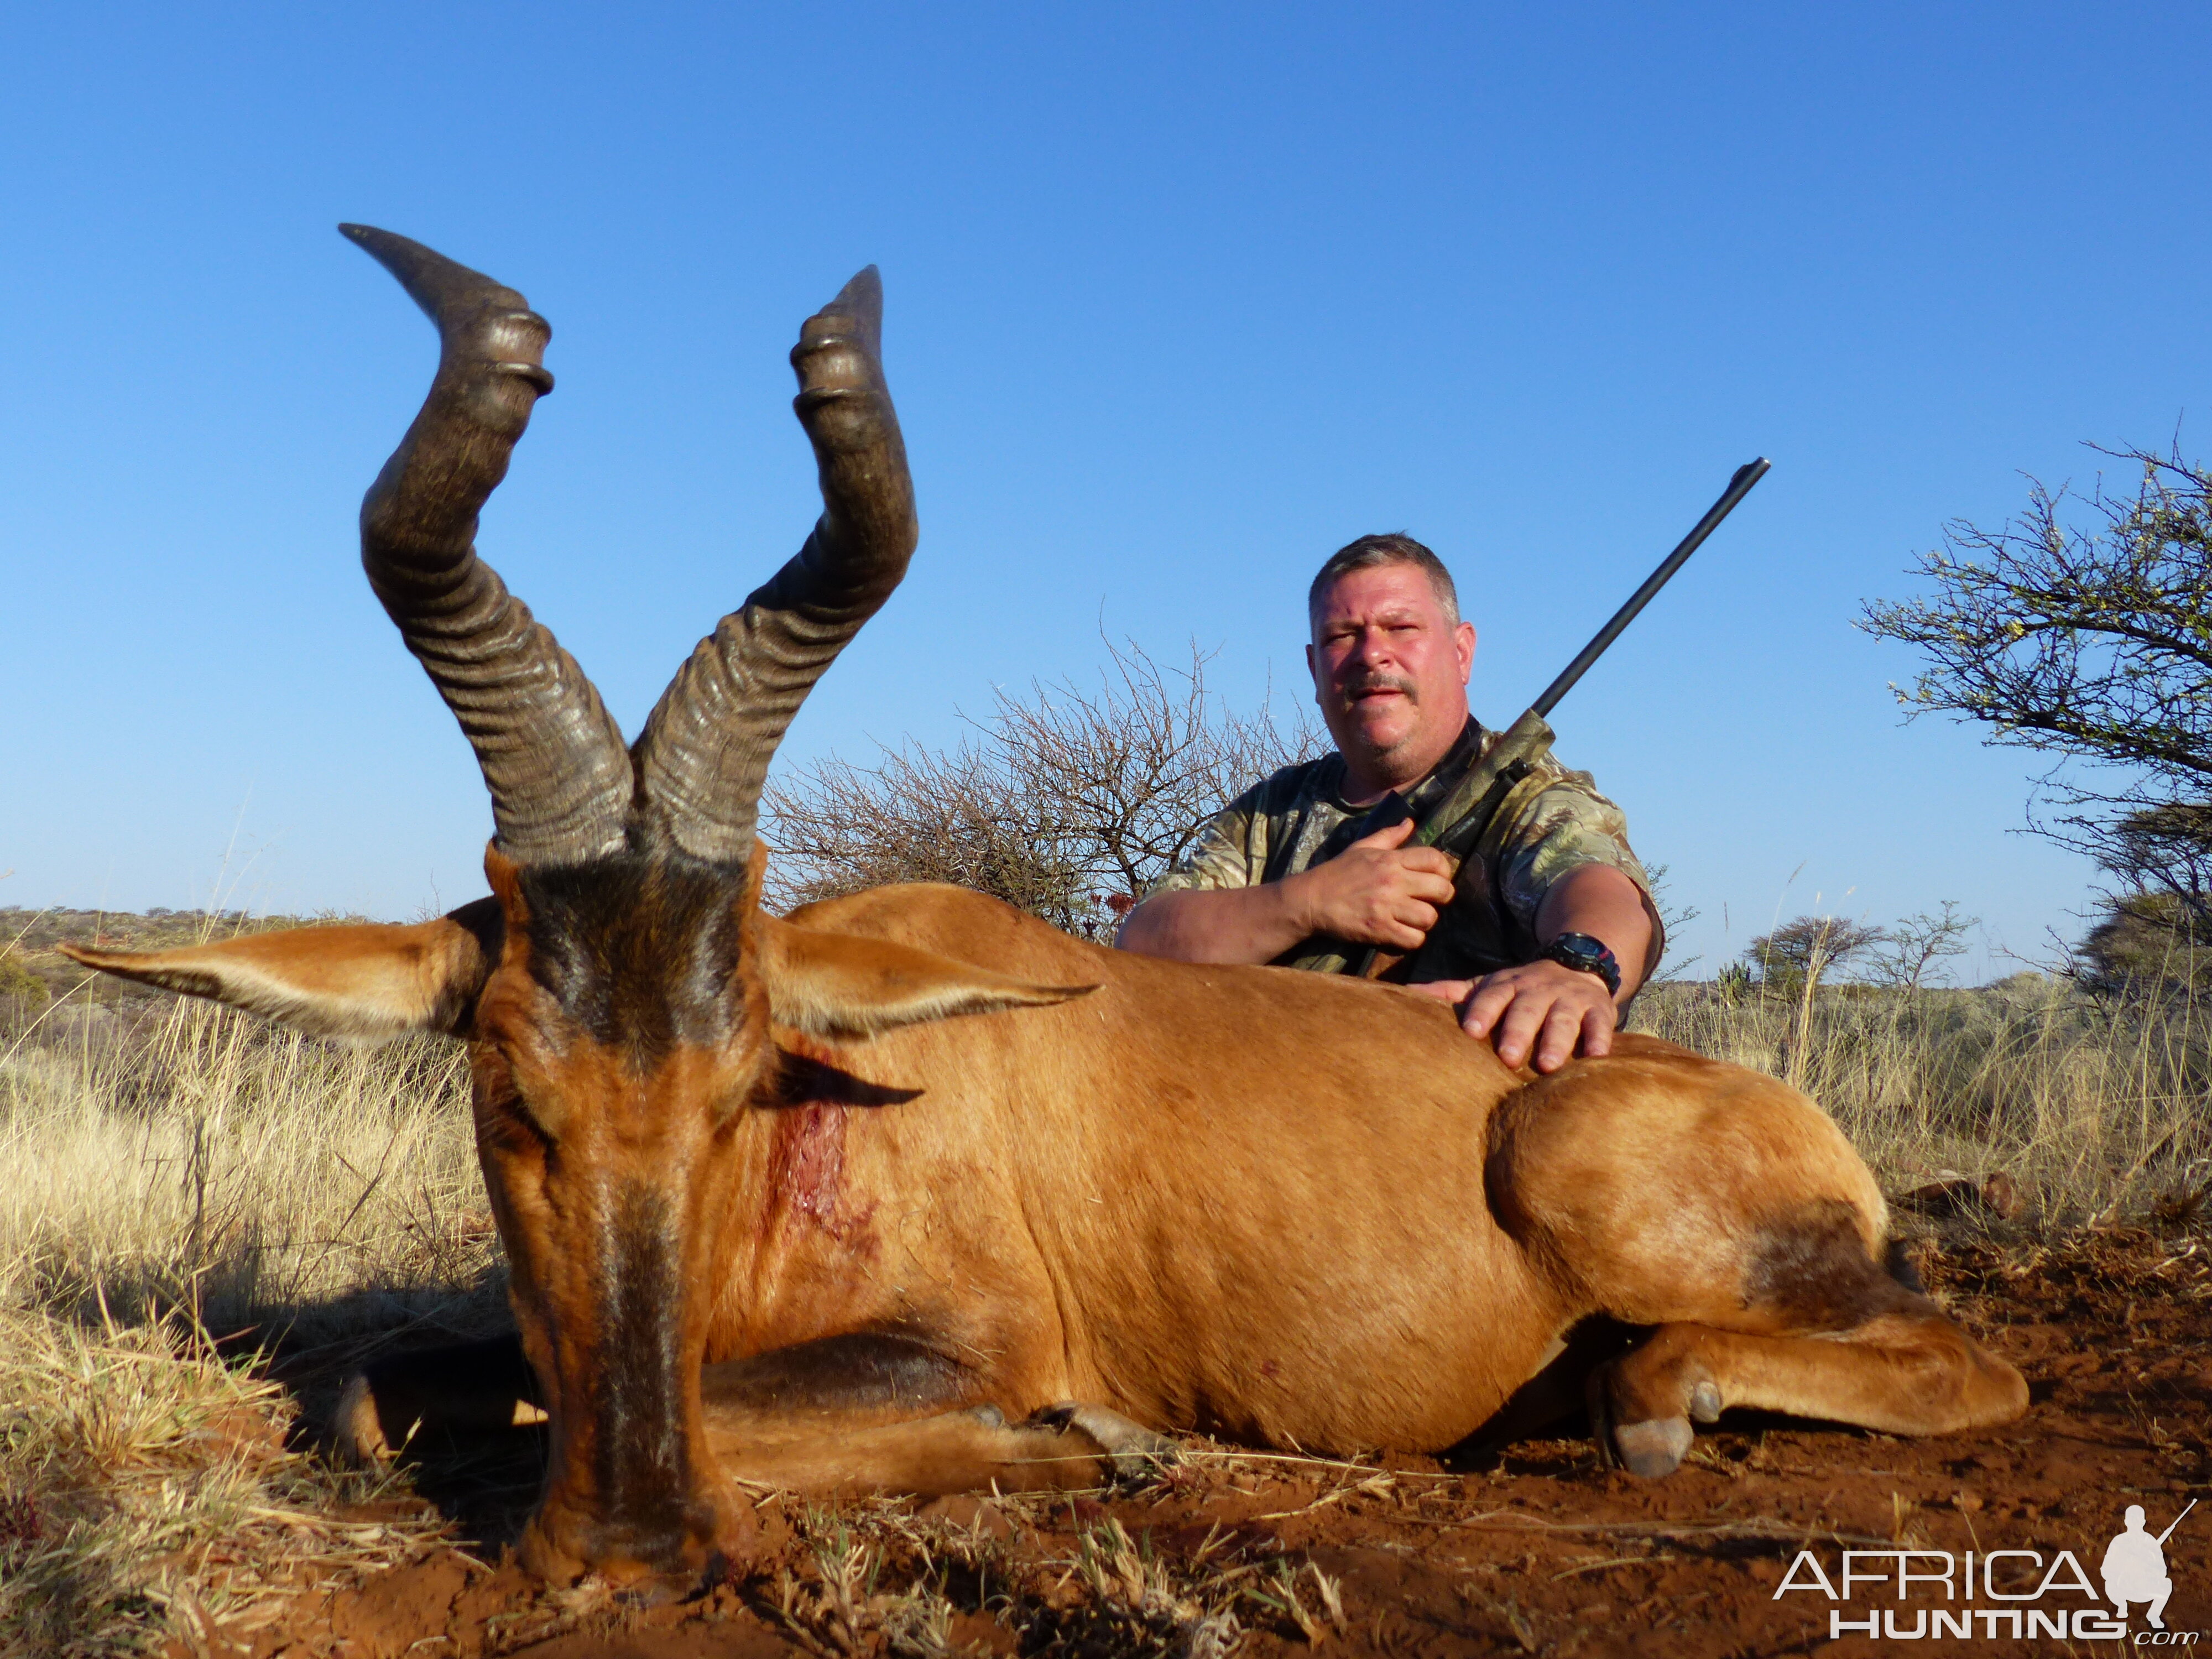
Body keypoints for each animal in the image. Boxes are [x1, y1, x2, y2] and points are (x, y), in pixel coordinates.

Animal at [69, 231, 2026, 1584]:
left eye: (744, 1085)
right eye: (504, 1095)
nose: (632, 1551)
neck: (846, 1118)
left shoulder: (968, 1336)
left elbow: (725, 1409)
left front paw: (1100, 1445)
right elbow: (379, 1388)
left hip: (1603, 1180)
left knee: (1967, 1363)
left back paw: (1656, 1406)